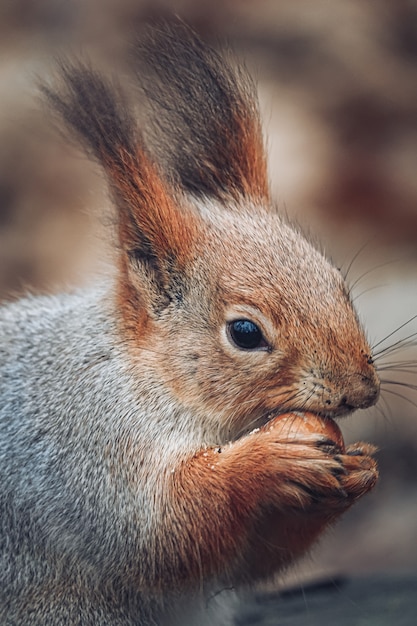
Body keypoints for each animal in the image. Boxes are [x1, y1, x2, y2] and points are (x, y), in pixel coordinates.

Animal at [0, 20, 378, 624]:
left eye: (335, 278)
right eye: (245, 333)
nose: (361, 391)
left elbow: (240, 560)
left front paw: (361, 471)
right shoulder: (85, 446)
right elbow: (161, 536)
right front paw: (267, 462)